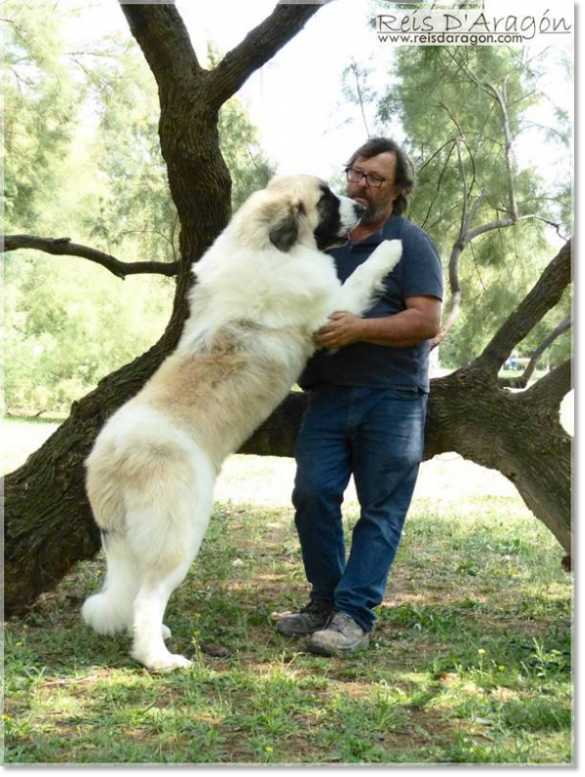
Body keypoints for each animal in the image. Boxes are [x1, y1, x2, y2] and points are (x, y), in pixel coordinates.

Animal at [82, 174, 402, 668]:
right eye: (328, 200)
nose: (364, 209)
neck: (264, 244)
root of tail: (110, 459)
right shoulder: (332, 312)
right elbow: (360, 275)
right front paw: (392, 247)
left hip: (132, 541)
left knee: (135, 593)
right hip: (180, 532)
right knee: (148, 597)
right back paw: (159, 657)